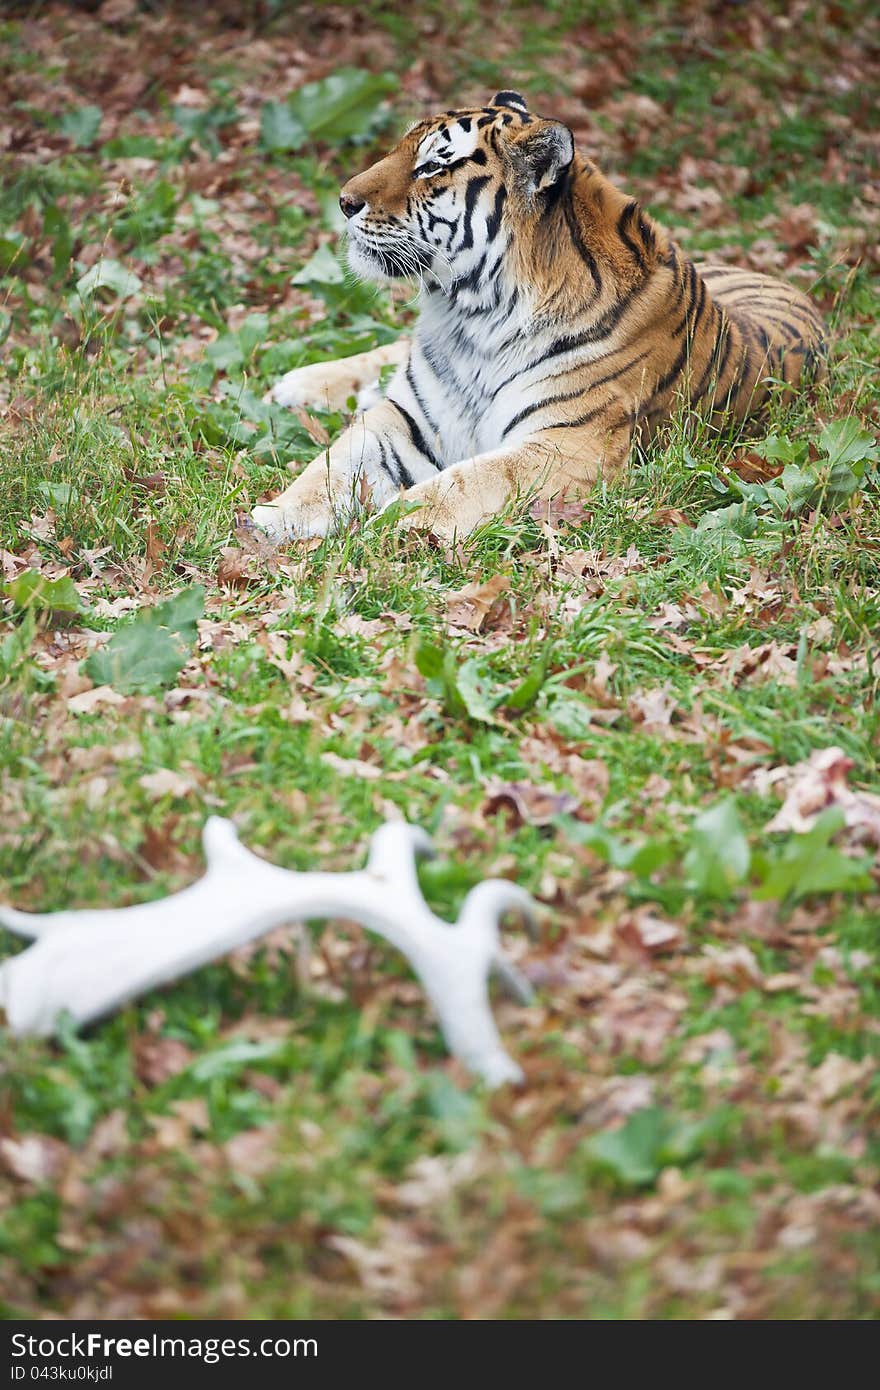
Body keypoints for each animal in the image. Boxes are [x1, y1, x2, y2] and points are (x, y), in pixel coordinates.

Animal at [250, 86, 828, 542]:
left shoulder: (567, 444)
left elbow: (466, 480)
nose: (344, 201)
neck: (470, 318)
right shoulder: (406, 416)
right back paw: (294, 384)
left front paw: (391, 524)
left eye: (432, 166)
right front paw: (273, 517)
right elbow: (333, 462)